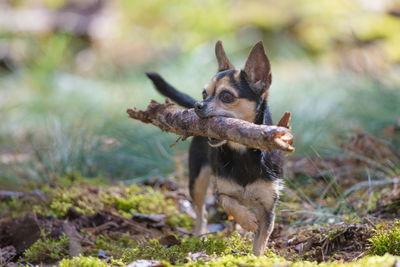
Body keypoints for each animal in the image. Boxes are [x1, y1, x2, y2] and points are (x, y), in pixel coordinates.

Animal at [148, 40, 284, 256]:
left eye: (227, 96)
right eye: (204, 93)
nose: (197, 105)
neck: (243, 154)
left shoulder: (268, 206)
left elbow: (260, 241)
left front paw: (256, 257)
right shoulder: (221, 192)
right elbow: (230, 204)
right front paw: (248, 221)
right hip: (197, 180)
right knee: (201, 213)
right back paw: (200, 236)